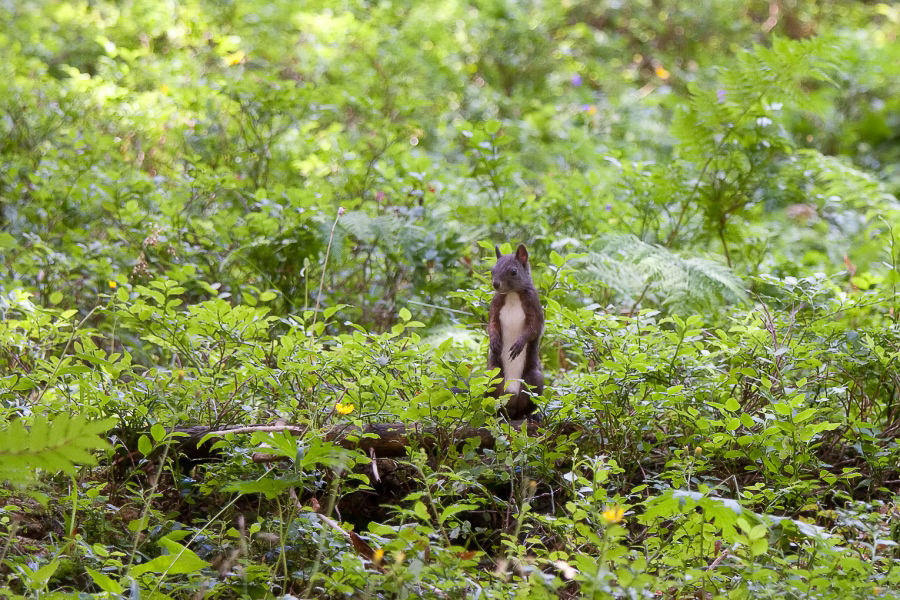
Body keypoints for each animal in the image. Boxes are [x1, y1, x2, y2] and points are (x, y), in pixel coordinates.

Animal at [488, 241, 544, 420]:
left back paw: (531, 416)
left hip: (533, 381)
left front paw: (519, 344)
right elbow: (492, 324)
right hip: (492, 376)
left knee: (526, 407)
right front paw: (494, 341)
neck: (512, 294)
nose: (496, 284)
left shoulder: (534, 304)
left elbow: (533, 328)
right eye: (492, 270)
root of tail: (510, 397)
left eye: (513, 271)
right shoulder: (495, 304)